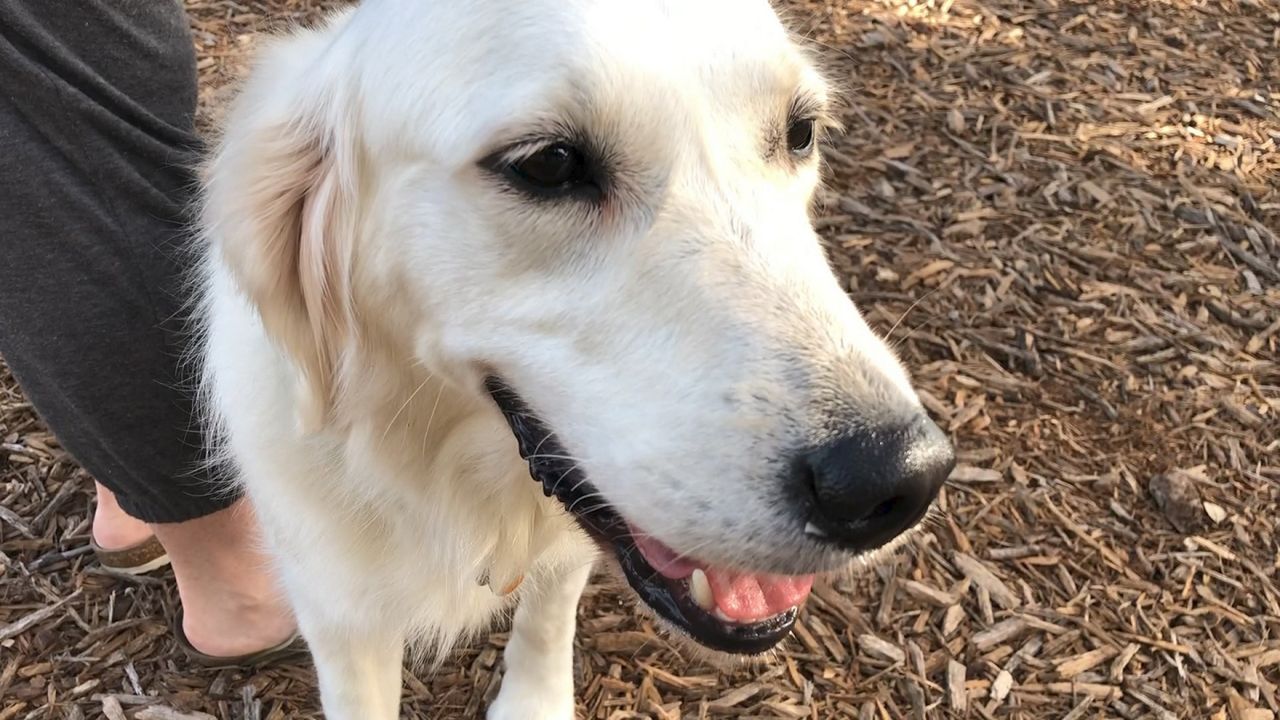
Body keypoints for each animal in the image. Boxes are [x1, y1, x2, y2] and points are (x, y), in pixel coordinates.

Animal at [197, 1, 952, 712]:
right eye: (548, 163)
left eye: (800, 132)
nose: (897, 481)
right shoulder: (340, 616)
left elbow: (548, 612)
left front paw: (534, 702)